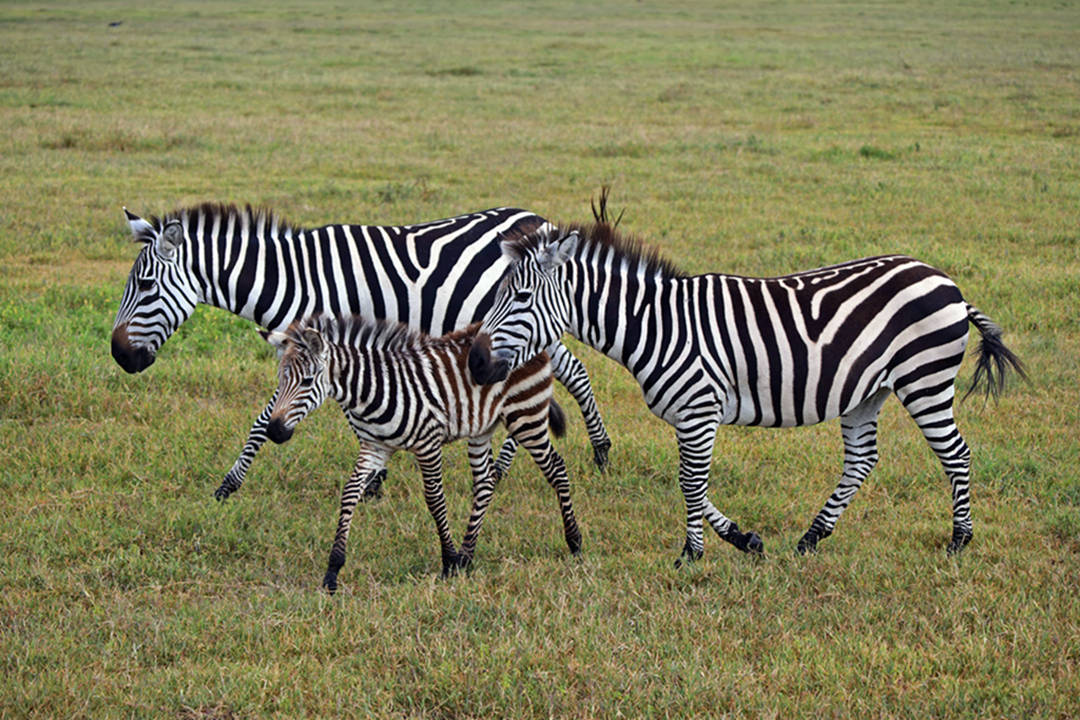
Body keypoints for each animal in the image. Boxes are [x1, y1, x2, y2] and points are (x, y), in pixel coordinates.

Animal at [111, 204, 617, 500]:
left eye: (145, 285)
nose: (119, 356)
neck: (293, 280)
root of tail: (538, 219)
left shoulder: (323, 347)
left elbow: (272, 416)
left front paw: (228, 486)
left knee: (562, 375)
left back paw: (575, 455)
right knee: (570, 373)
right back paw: (583, 453)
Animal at [262, 315, 583, 591]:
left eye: (306, 381)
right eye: (280, 380)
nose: (274, 431)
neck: (372, 392)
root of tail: (537, 345)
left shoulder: (428, 443)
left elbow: (435, 499)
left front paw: (448, 560)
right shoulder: (375, 447)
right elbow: (351, 492)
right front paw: (333, 570)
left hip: (526, 417)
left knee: (556, 468)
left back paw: (574, 542)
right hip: (483, 426)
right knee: (484, 483)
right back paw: (468, 555)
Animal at [468, 220, 1023, 561]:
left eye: (520, 296)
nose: (474, 360)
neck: (658, 325)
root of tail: (948, 284)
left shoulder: (699, 409)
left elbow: (690, 483)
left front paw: (691, 555)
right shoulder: (692, 415)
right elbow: (694, 485)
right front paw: (742, 539)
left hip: (924, 380)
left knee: (955, 454)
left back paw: (959, 540)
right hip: (866, 391)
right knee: (862, 460)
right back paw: (811, 538)